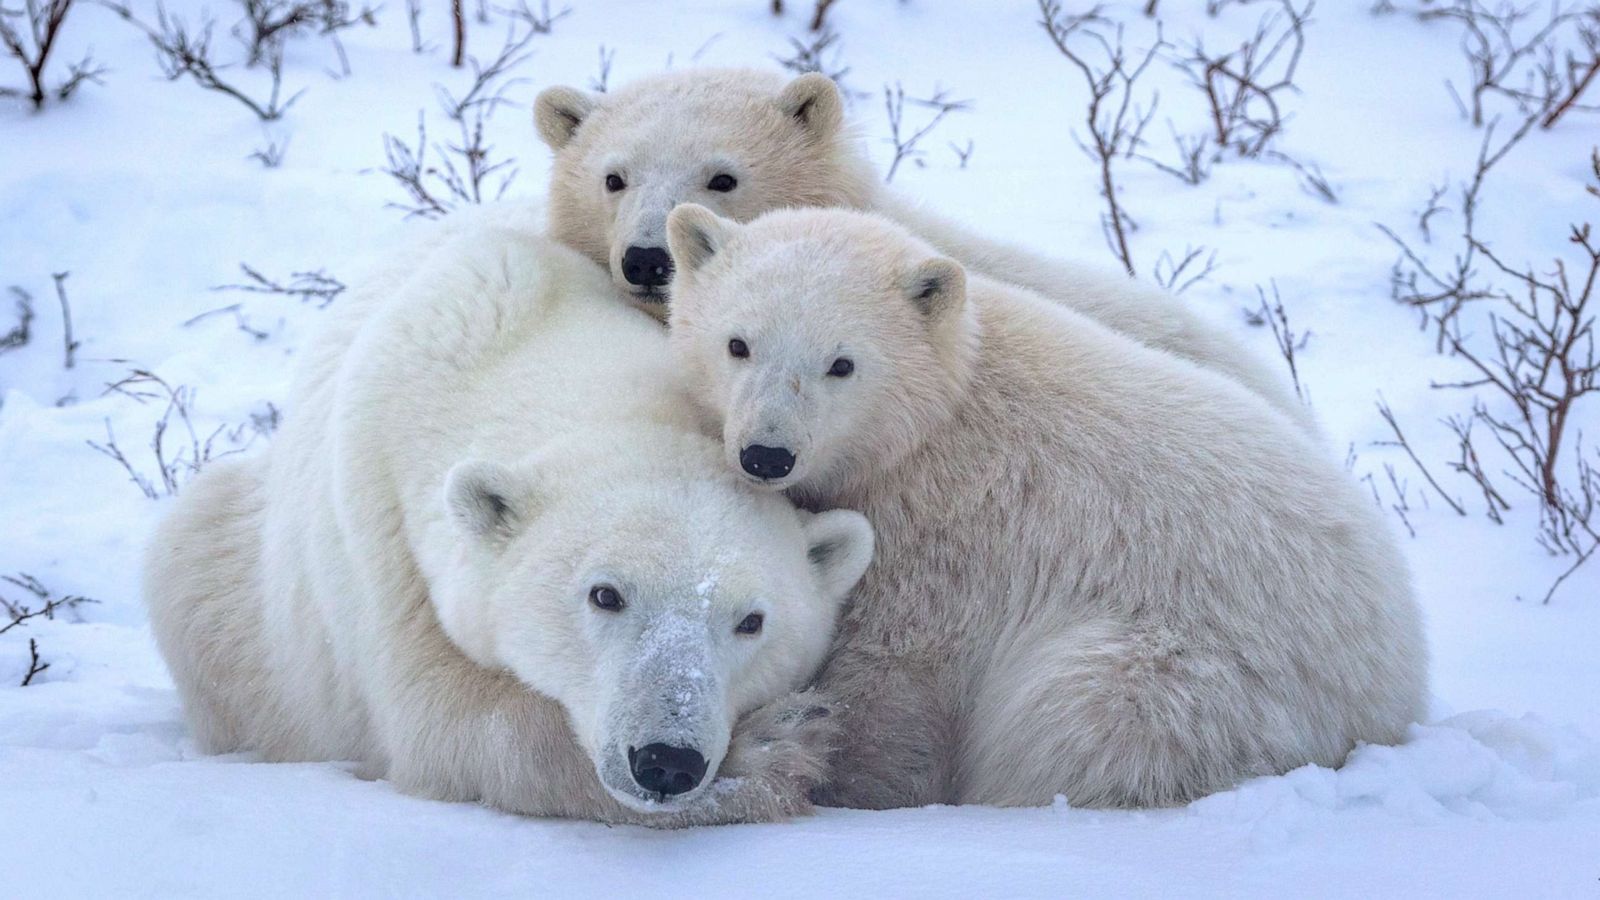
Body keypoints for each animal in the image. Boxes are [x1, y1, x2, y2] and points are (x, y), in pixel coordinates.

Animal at [145, 208, 876, 819]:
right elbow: (449, 724)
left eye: (752, 621)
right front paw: (782, 745)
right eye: (605, 594)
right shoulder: (386, 537)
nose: (666, 761)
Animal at [662, 204, 1427, 807]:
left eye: (841, 364)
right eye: (737, 344)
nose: (767, 454)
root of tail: (1398, 685)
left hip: (1191, 679)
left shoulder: (947, 533)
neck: (936, 417)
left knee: (1075, 720)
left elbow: (893, 678)